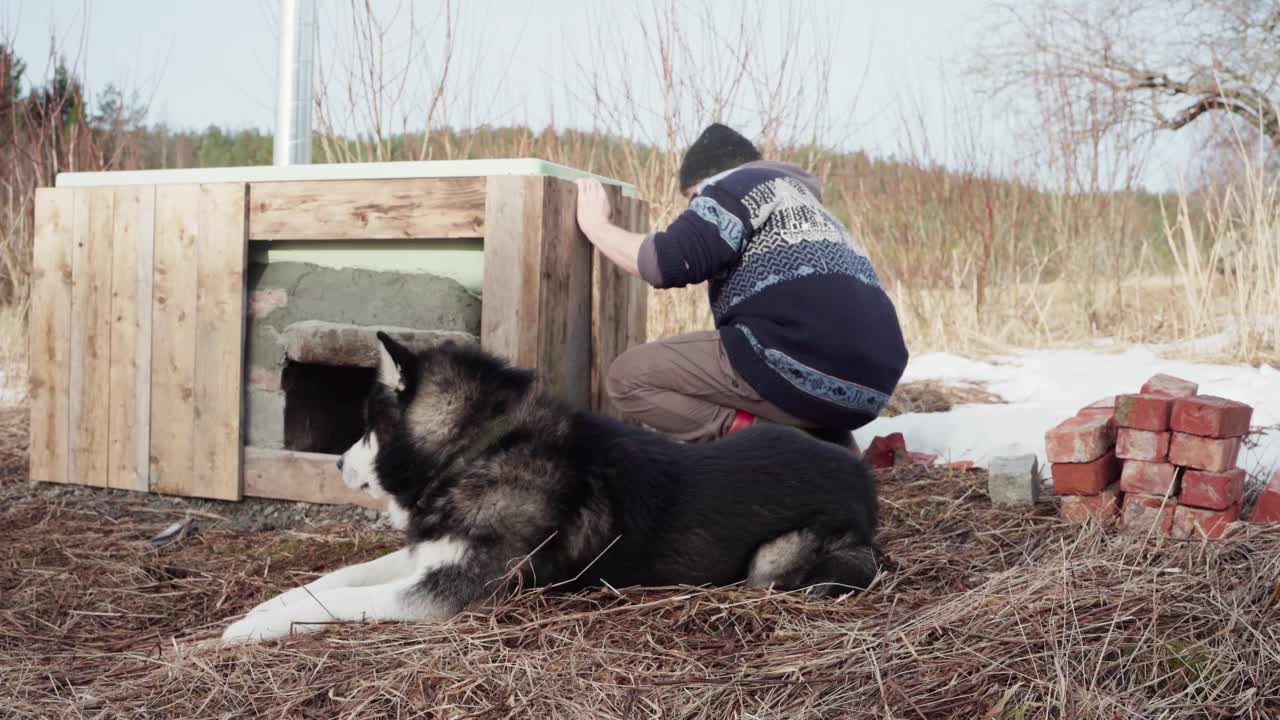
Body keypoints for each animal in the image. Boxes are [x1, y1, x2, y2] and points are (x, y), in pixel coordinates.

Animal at [222, 333, 880, 640]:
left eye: (365, 429)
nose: (335, 463)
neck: (480, 450)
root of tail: (862, 476)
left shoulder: (448, 593)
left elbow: (342, 601)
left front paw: (250, 628)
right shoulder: (431, 554)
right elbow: (334, 579)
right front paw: (264, 608)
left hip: (774, 563)